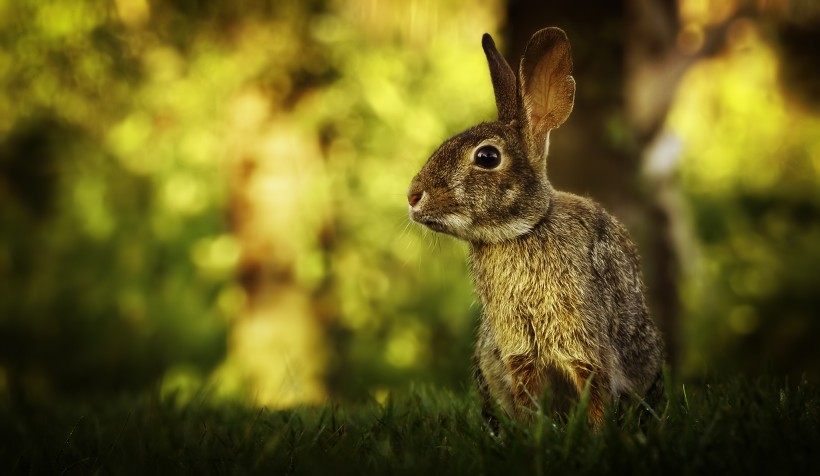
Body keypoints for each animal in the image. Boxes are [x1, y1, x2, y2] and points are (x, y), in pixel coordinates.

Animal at [406, 27, 664, 426]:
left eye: (487, 157)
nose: (413, 196)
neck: (522, 231)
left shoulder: (584, 340)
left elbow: (595, 388)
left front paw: (596, 434)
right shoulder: (518, 350)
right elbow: (528, 392)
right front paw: (533, 433)